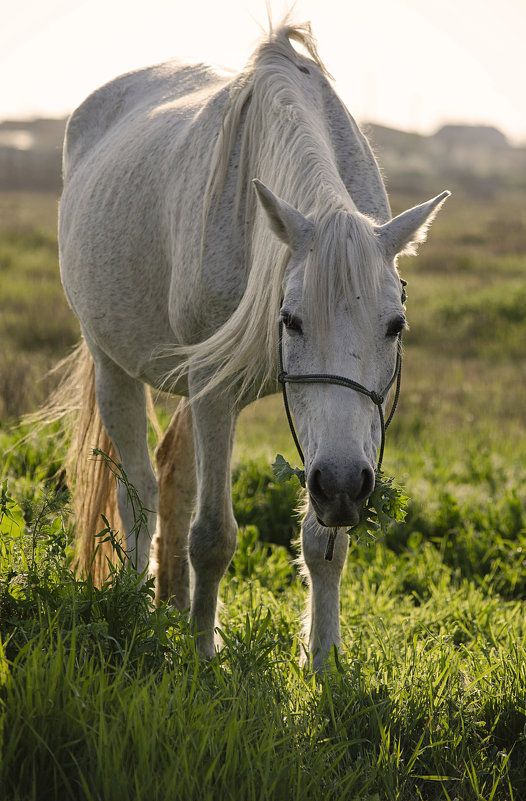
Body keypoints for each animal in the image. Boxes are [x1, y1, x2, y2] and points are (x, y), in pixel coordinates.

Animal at [57, 21, 450, 664]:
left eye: (396, 326)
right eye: (289, 320)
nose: (343, 485)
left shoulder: (337, 443)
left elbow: (324, 543)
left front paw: (325, 664)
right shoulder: (214, 393)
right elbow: (213, 537)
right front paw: (202, 658)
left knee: (174, 480)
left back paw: (168, 607)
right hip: (111, 364)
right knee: (138, 495)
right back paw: (134, 611)